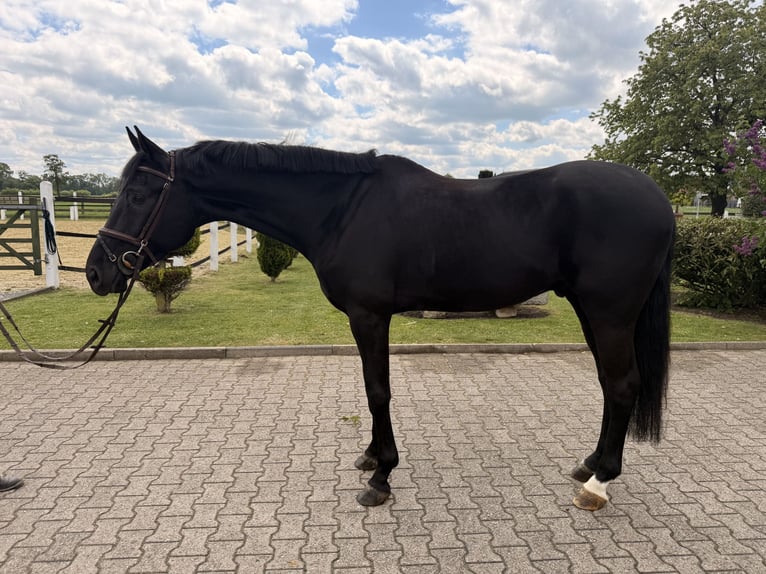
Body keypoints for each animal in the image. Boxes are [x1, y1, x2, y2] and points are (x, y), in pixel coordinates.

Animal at [86, 127, 675, 511]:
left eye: (138, 193)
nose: (97, 272)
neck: (341, 209)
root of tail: (659, 198)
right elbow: (373, 390)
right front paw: (371, 459)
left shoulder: (369, 316)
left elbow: (377, 391)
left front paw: (382, 477)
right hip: (591, 311)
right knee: (610, 384)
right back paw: (590, 464)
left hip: (609, 312)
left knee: (622, 385)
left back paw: (599, 484)